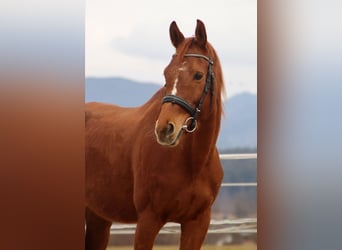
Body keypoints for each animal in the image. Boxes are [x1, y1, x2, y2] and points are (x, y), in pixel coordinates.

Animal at [85, 20, 224, 250]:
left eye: (198, 75)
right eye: (166, 74)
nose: (164, 129)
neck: (192, 164)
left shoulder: (197, 223)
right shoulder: (148, 220)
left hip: (98, 217)